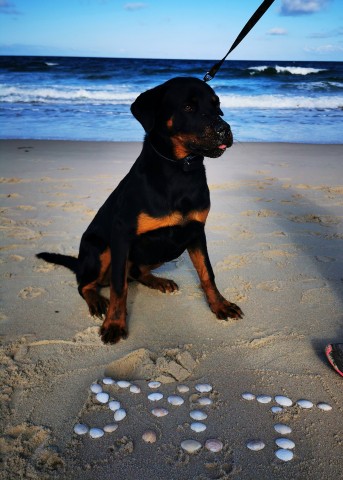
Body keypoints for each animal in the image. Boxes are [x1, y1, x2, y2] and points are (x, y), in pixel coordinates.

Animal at [36, 77, 243, 344]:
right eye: (188, 107)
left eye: (217, 105)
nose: (224, 129)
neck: (180, 172)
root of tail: (80, 262)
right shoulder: (121, 236)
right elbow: (119, 287)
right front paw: (114, 323)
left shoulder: (196, 232)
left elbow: (207, 273)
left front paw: (220, 305)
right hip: (99, 249)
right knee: (85, 284)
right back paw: (96, 301)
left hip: (165, 251)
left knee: (136, 271)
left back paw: (158, 281)